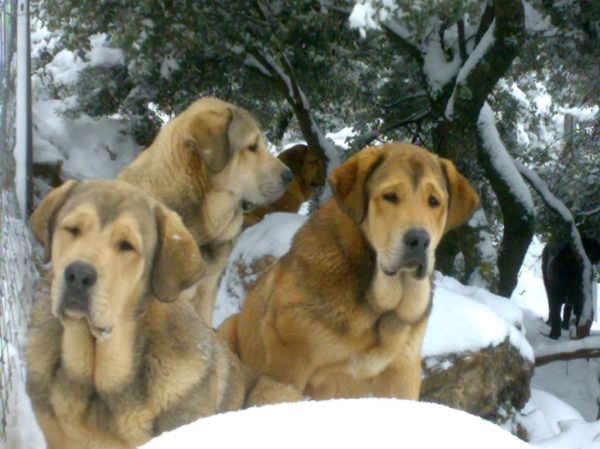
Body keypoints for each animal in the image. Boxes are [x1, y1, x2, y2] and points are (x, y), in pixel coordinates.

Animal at [219, 143, 478, 400]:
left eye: (434, 201)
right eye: (390, 196)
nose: (419, 240)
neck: (377, 306)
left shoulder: (402, 372)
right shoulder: (288, 363)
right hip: (229, 328)